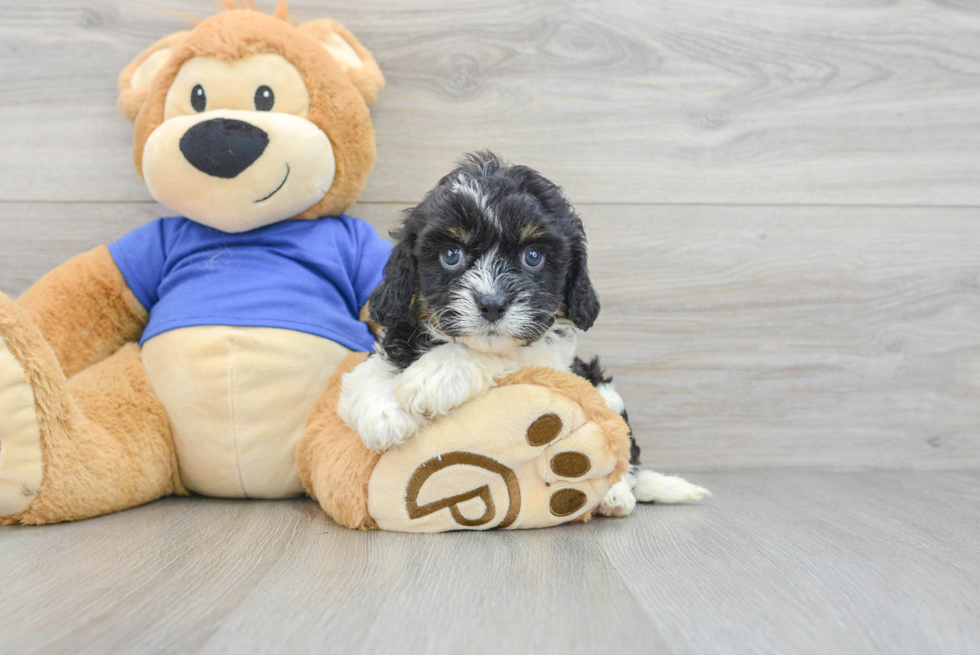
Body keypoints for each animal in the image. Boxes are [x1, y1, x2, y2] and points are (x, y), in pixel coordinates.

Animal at [336, 151, 704, 516]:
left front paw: (435, 375)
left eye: (533, 256)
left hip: (604, 391)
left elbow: (505, 354)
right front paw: (384, 413)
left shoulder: (550, 357)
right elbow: (368, 372)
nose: (492, 304)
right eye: (451, 255)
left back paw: (614, 496)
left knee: (624, 452)